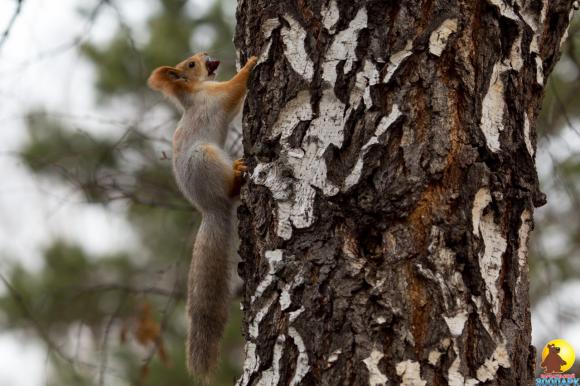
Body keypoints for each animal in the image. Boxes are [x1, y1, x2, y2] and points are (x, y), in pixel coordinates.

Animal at [147, 51, 256, 376]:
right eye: (191, 64)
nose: (206, 54)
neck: (194, 92)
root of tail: (211, 207)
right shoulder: (214, 97)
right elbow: (234, 88)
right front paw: (251, 63)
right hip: (205, 158)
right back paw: (237, 175)